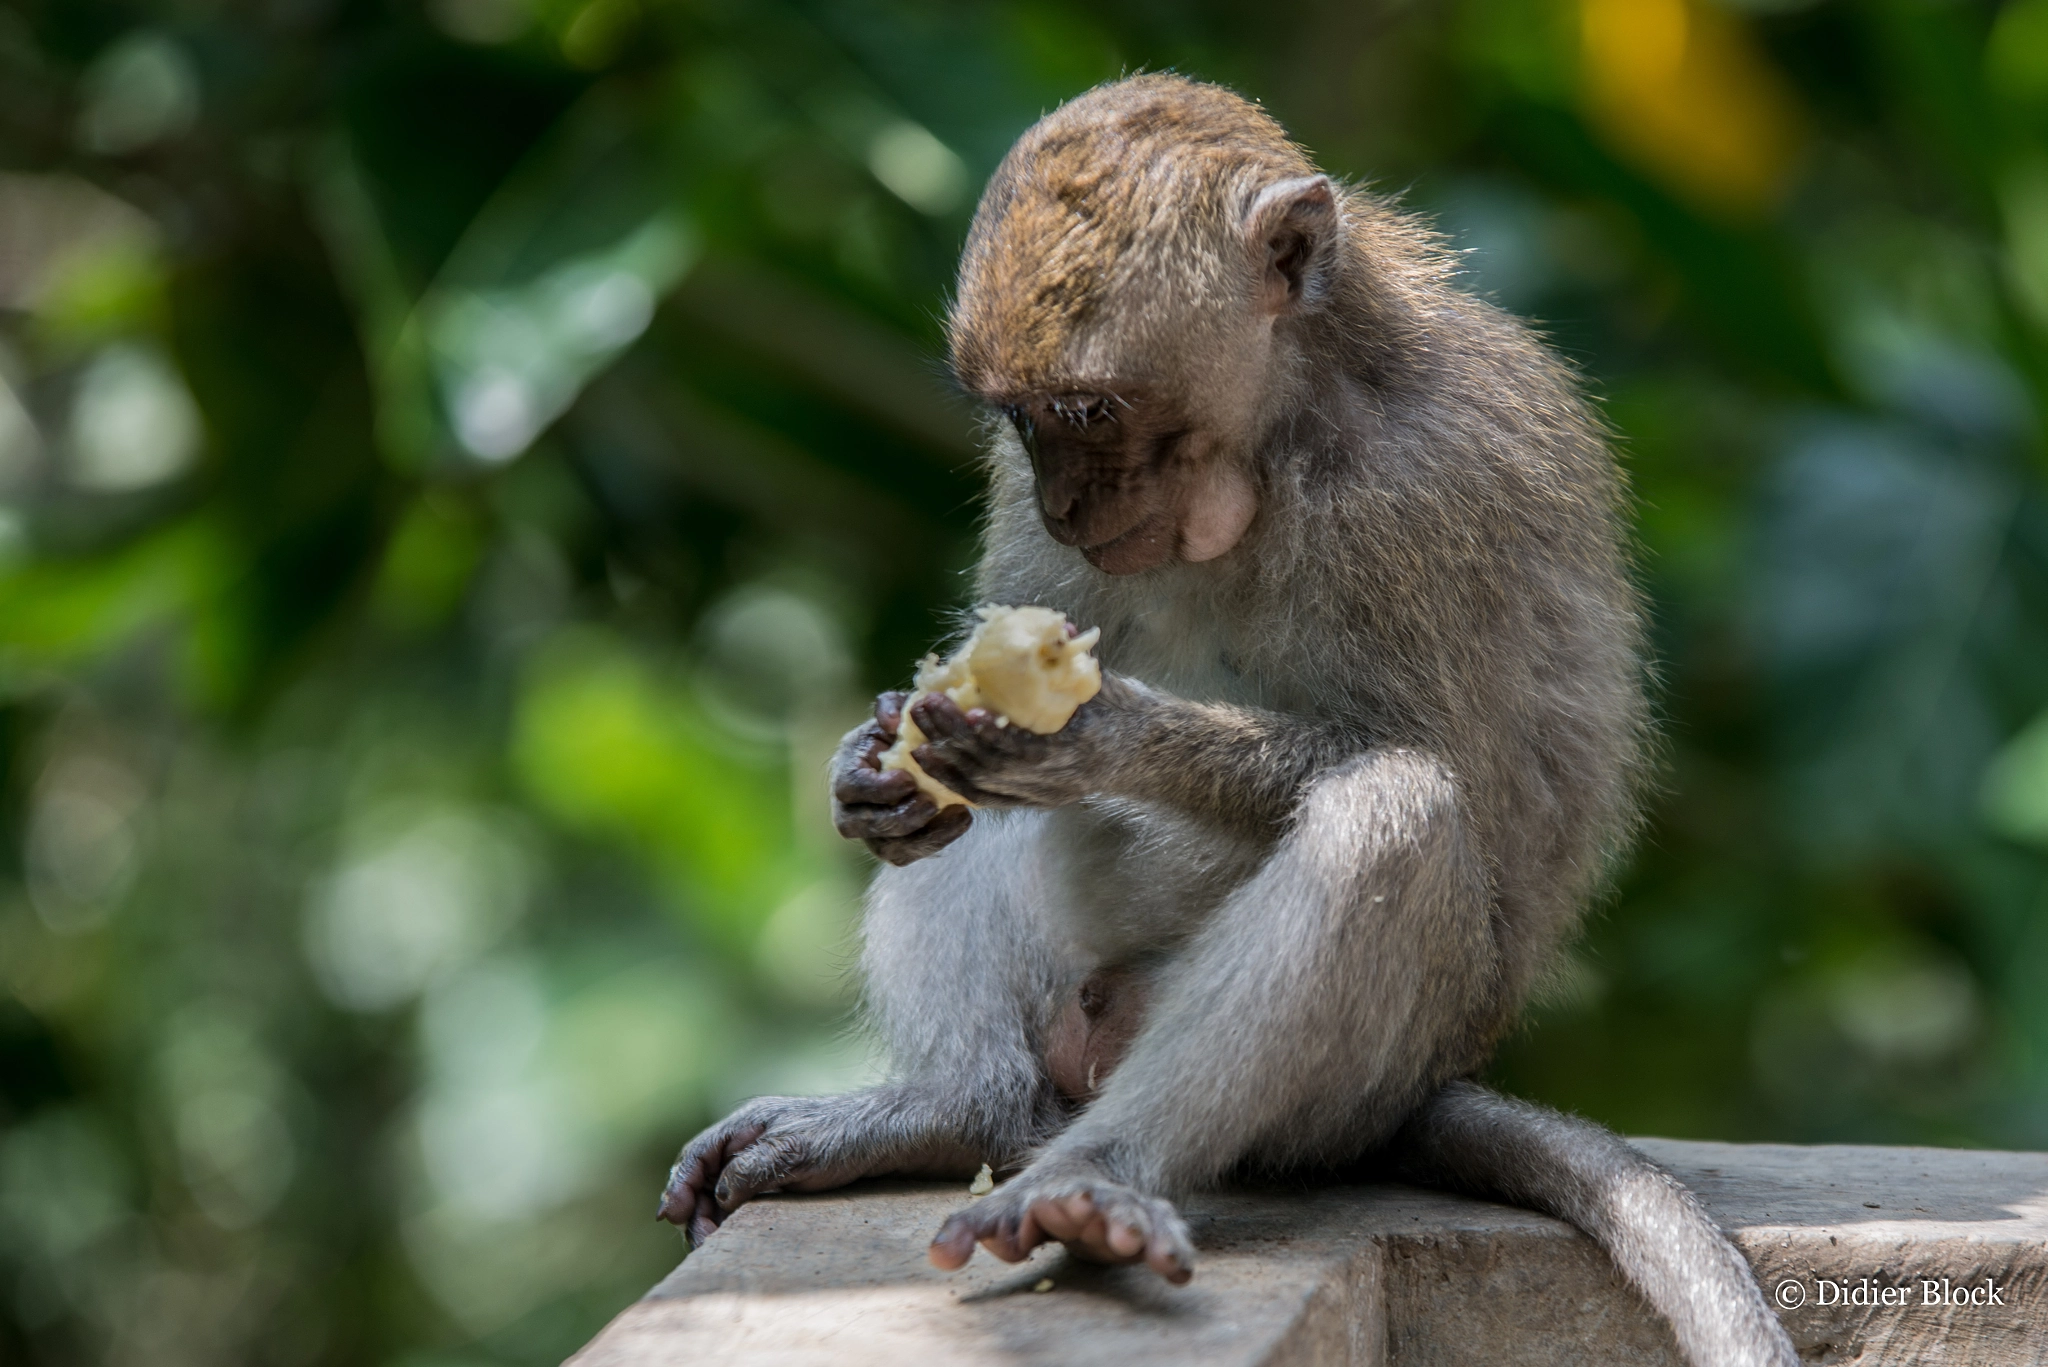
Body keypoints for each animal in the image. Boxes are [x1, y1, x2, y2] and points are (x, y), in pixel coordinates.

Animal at [658, 74, 1797, 1367]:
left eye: (1089, 409)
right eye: (1022, 421)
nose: (1065, 504)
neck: (1282, 432)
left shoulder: (1416, 502)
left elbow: (1443, 762)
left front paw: (1100, 738)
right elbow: (959, 717)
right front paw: (877, 764)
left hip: (1363, 1074)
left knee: (1391, 811)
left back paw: (1095, 1177)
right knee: (997, 846)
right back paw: (953, 1111)